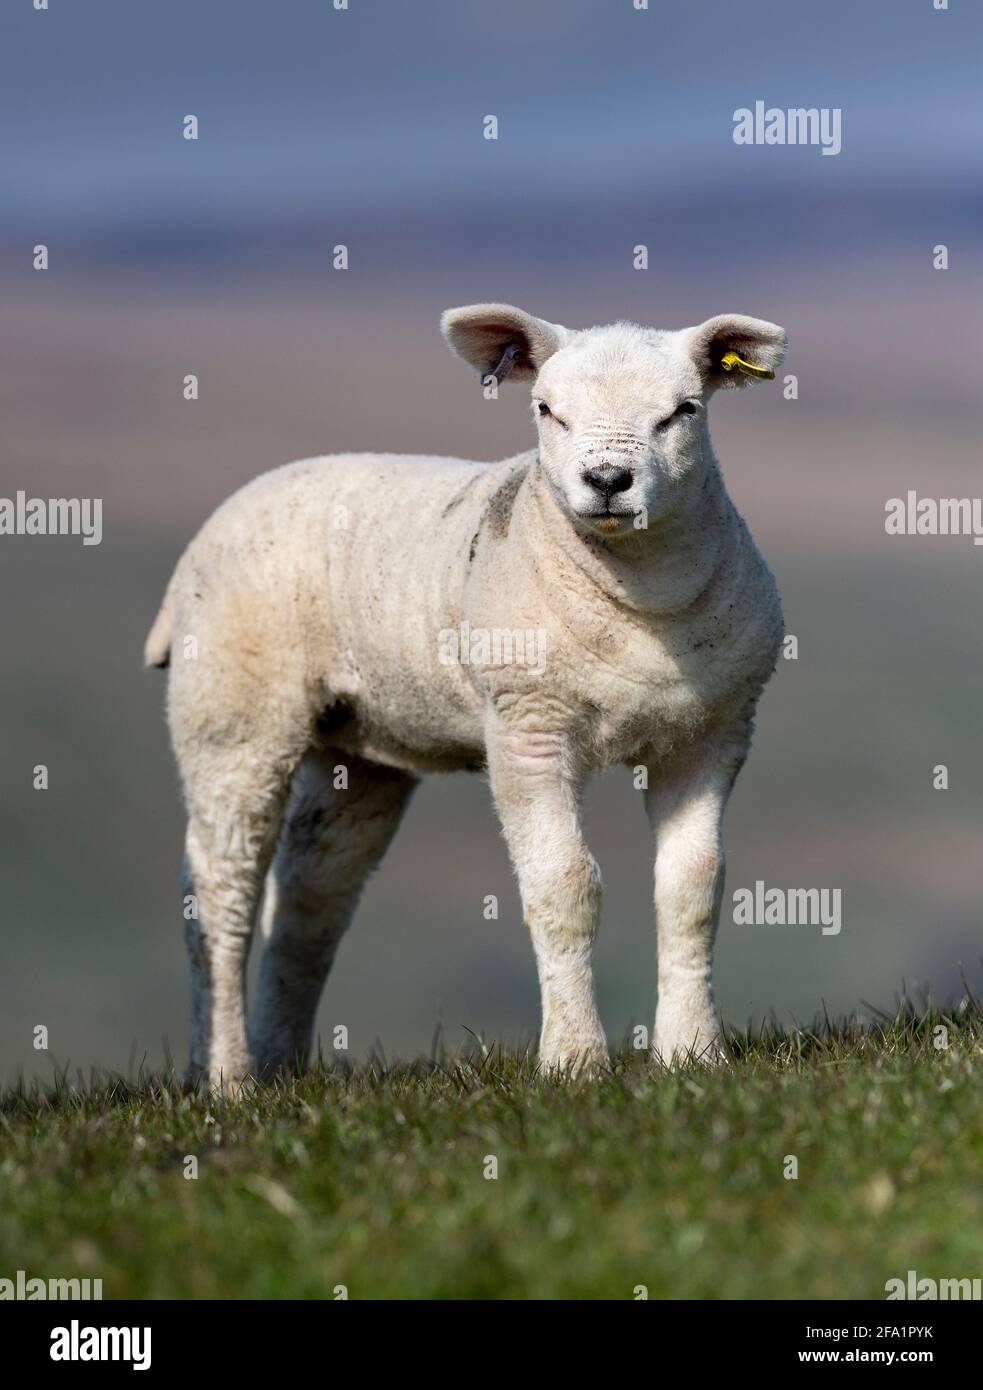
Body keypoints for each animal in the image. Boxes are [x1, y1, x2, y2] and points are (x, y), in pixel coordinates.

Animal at [145, 301, 789, 1084]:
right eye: (546, 409)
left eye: (683, 411)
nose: (608, 478)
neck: (640, 605)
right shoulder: (526, 728)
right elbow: (564, 885)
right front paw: (573, 1062)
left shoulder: (712, 733)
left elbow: (692, 889)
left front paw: (693, 1053)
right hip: (234, 707)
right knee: (219, 891)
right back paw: (226, 1078)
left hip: (361, 750)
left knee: (310, 897)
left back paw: (279, 1066)